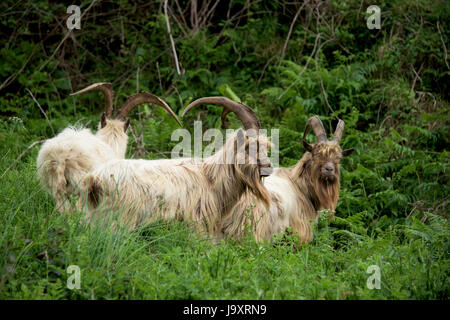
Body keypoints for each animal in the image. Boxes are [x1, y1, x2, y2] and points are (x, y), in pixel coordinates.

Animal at [81, 96, 274, 239]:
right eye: (249, 147)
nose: (269, 167)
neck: (210, 178)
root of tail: (94, 179)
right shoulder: (196, 224)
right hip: (119, 219)